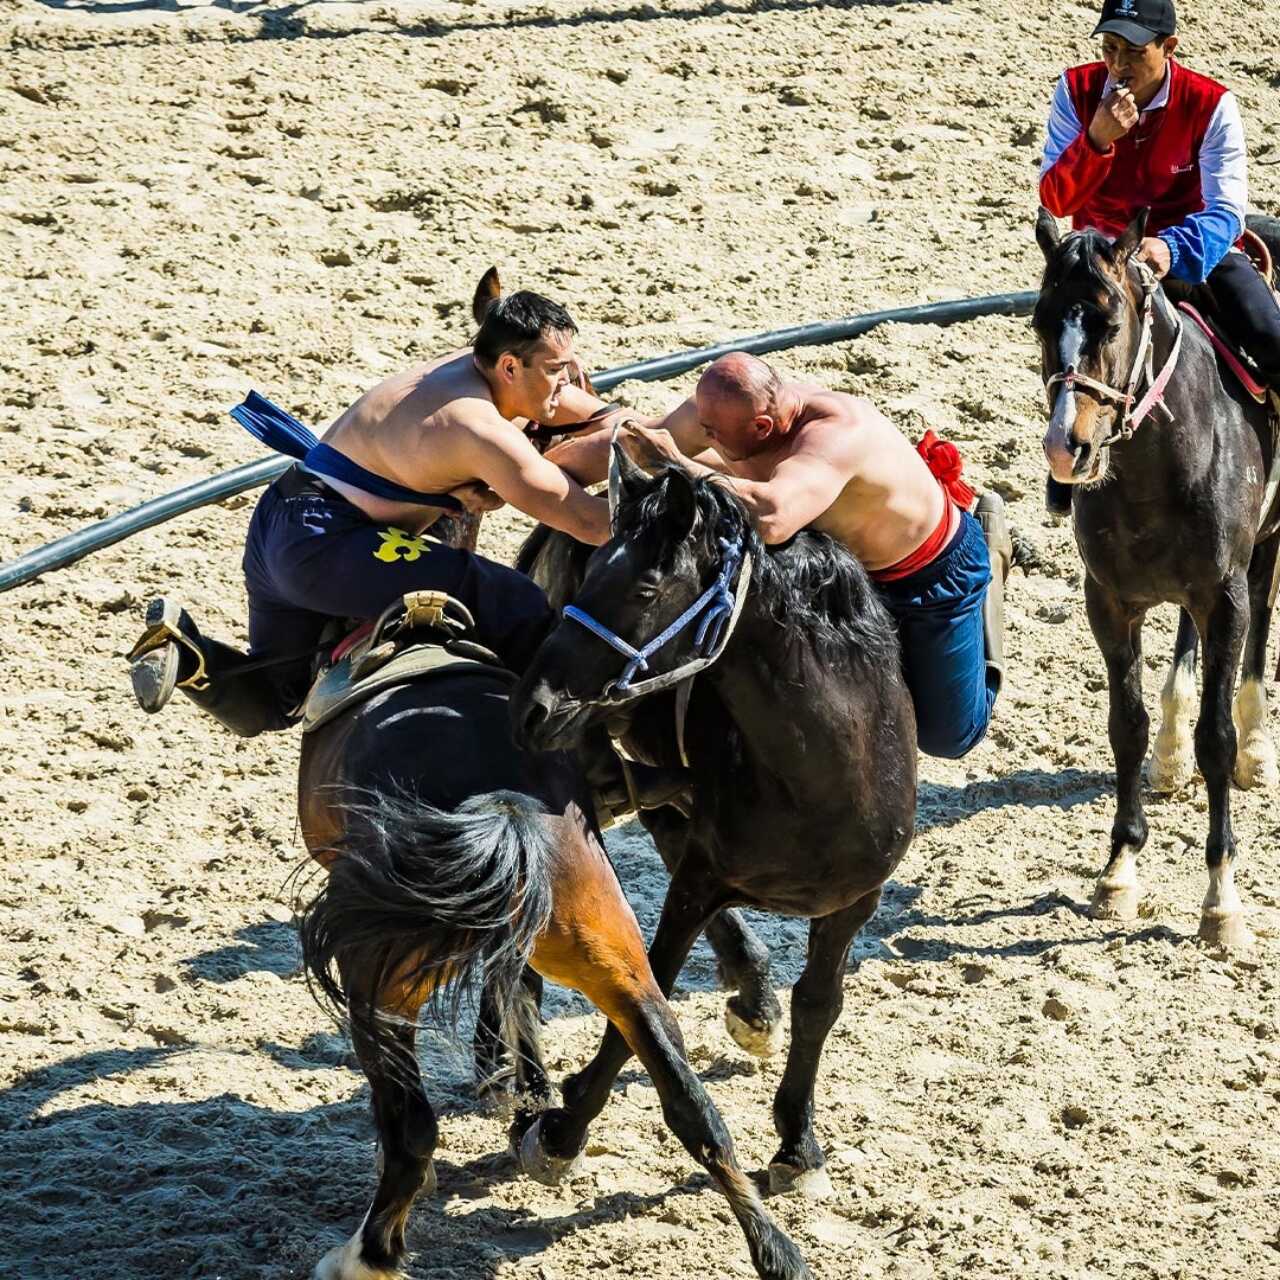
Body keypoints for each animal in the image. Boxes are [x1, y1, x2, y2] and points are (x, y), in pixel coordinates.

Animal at [504, 450, 916, 1198]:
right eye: (593, 569)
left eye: (645, 589)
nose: (532, 707)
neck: (822, 775)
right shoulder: (699, 881)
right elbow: (644, 1003)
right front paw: (560, 1132)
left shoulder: (853, 902)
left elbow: (819, 1003)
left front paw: (797, 1142)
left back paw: (754, 1002)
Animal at [1034, 207, 1274, 952]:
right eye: (1039, 323)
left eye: (1111, 324)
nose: (1066, 448)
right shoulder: (1109, 600)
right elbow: (1126, 725)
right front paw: (1118, 871)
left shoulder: (1224, 596)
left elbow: (1216, 739)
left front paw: (1222, 901)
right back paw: (1170, 758)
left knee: (1265, 608)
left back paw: (1259, 747)